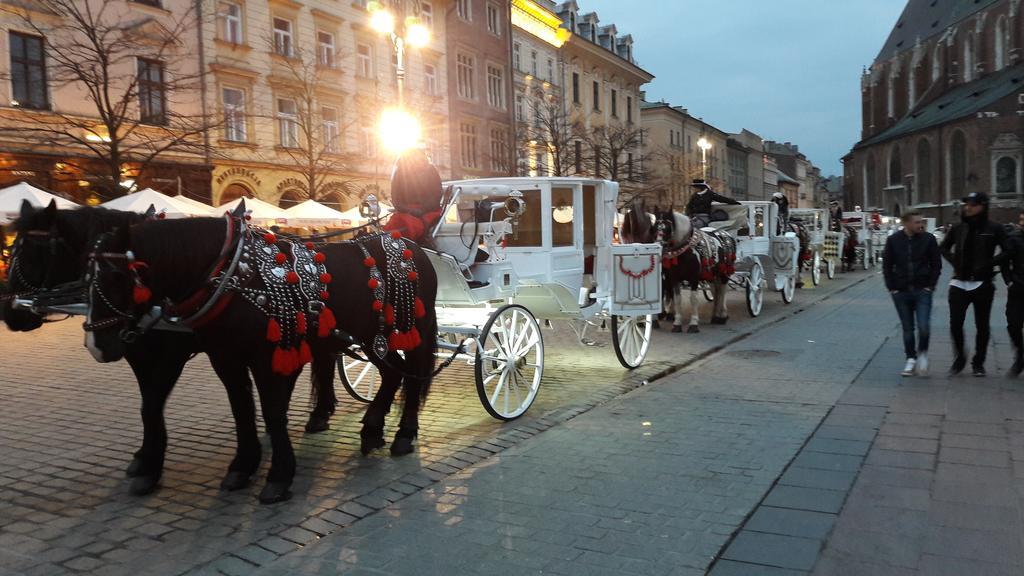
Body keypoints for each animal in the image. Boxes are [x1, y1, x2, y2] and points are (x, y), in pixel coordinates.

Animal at [3, 201, 339, 494]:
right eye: (87, 274)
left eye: (32, 253)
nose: (10, 314)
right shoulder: (145, 355)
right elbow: (150, 405)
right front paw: (145, 456)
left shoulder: (173, 356)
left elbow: (153, 404)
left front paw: (150, 468)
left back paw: (318, 415)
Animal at [86, 212, 438, 502]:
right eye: (86, 277)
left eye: (116, 277)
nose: (96, 345)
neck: (231, 276)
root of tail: (411, 245)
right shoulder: (224, 357)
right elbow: (241, 409)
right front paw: (242, 466)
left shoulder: (267, 356)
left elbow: (272, 412)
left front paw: (278, 477)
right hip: (370, 336)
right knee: (394, 373)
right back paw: (373, 430)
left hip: (411, 328)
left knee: (413, 374)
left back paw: (404, 434)